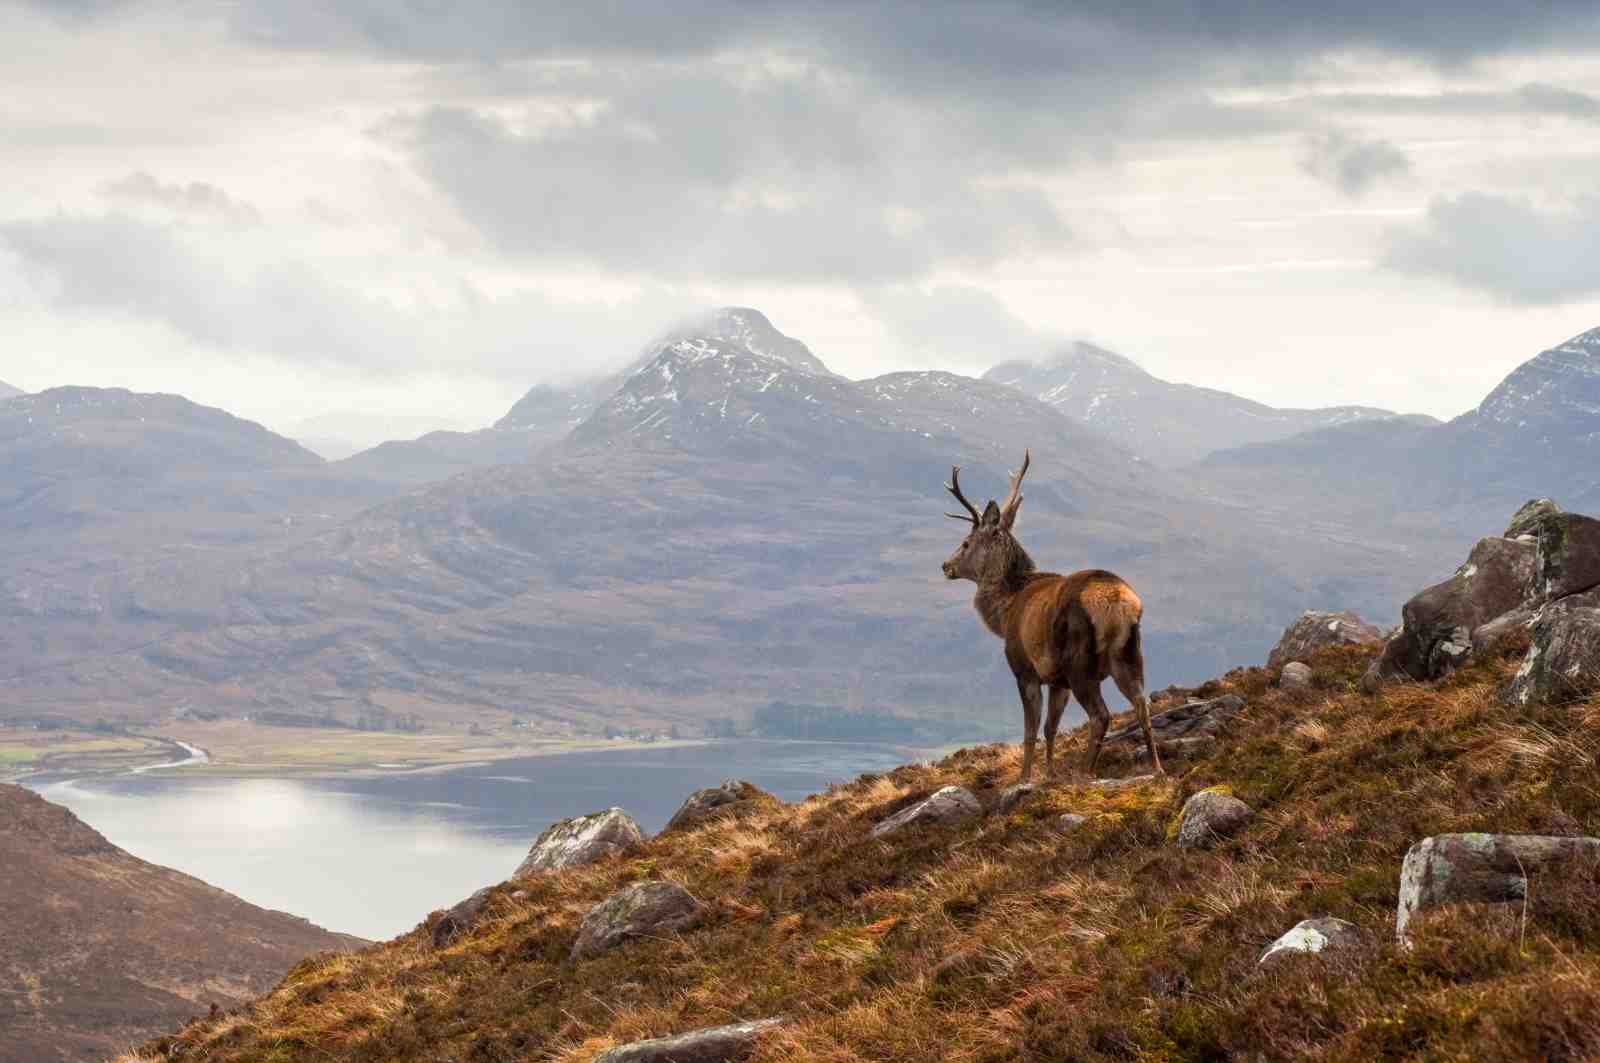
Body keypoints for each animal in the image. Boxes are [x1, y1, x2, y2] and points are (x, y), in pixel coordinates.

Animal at [941, 451, 1164, 781]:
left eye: (966, 542)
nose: (946, 565)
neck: (1004, 614)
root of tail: (1119, 603)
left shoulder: (1025, 669)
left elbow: (1030, 731)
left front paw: (1025, 778)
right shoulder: (1058, 681)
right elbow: (1051, 728)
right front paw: (1049, 774)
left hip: (1079, 660)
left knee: (1101, 715)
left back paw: (1084, 772)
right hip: (1129, 653)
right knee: (1141, 704)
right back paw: (1156, 768)